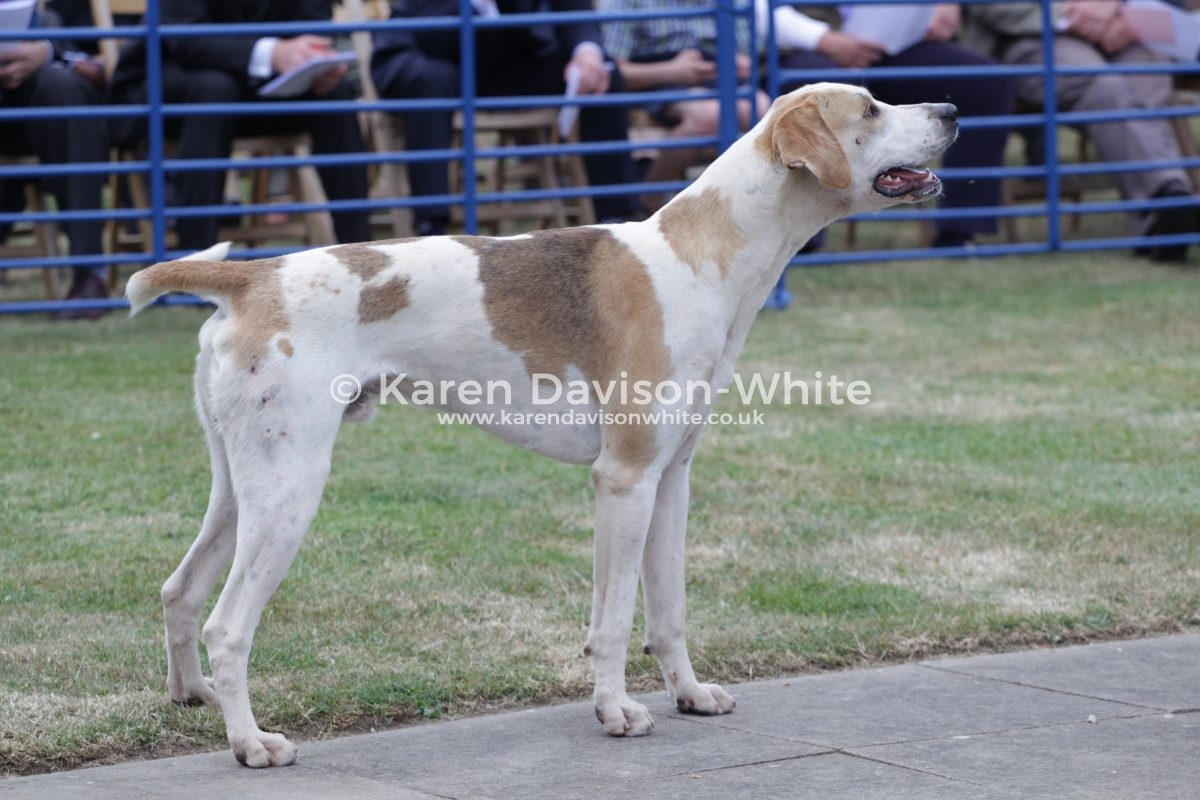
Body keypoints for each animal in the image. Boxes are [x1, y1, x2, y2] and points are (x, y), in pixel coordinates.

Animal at [126, 83, 957, 768]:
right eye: (871, 108)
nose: (951, 111)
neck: (702, 255)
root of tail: (252, 275)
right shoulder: (624, 483)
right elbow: (616, 619)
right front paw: (616, 711)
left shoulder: (671, 483)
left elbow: (669, 611)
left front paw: (687, 694)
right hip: (290, 492)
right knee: (228, 626)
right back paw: (248, 742)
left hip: (243, 489)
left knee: (180, 591)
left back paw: (194, 698)